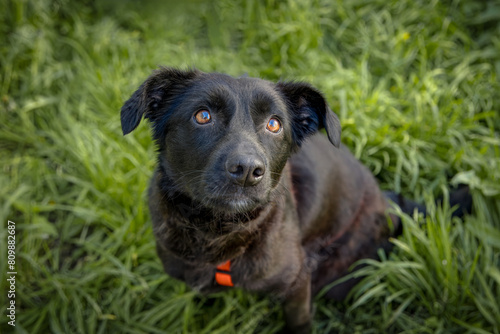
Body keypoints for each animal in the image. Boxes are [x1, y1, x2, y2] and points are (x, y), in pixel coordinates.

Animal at [120, 67, 468, 332]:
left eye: (274, 124)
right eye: (202, 116)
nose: (247, 171)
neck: (219, 231)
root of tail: (390, 203)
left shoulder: (298, 284)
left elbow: (299, 322)